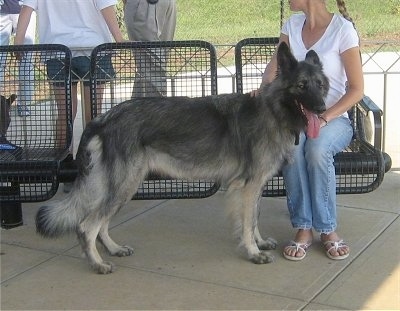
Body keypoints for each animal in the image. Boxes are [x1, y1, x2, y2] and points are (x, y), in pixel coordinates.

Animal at [35, 42, 328, 274]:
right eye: (302, 85)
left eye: (320, 85)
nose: (323, 108)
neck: (274, 111)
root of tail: (103, 118)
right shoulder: (249, 185)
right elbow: (246, 223)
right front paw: (253, 252)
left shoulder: (253, 187)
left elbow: (253, 217)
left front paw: (258, 242)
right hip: (124, 186)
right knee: (87, 226)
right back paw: (97, 264)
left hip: (125, 187)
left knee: (101, 224)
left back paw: (113, 249)